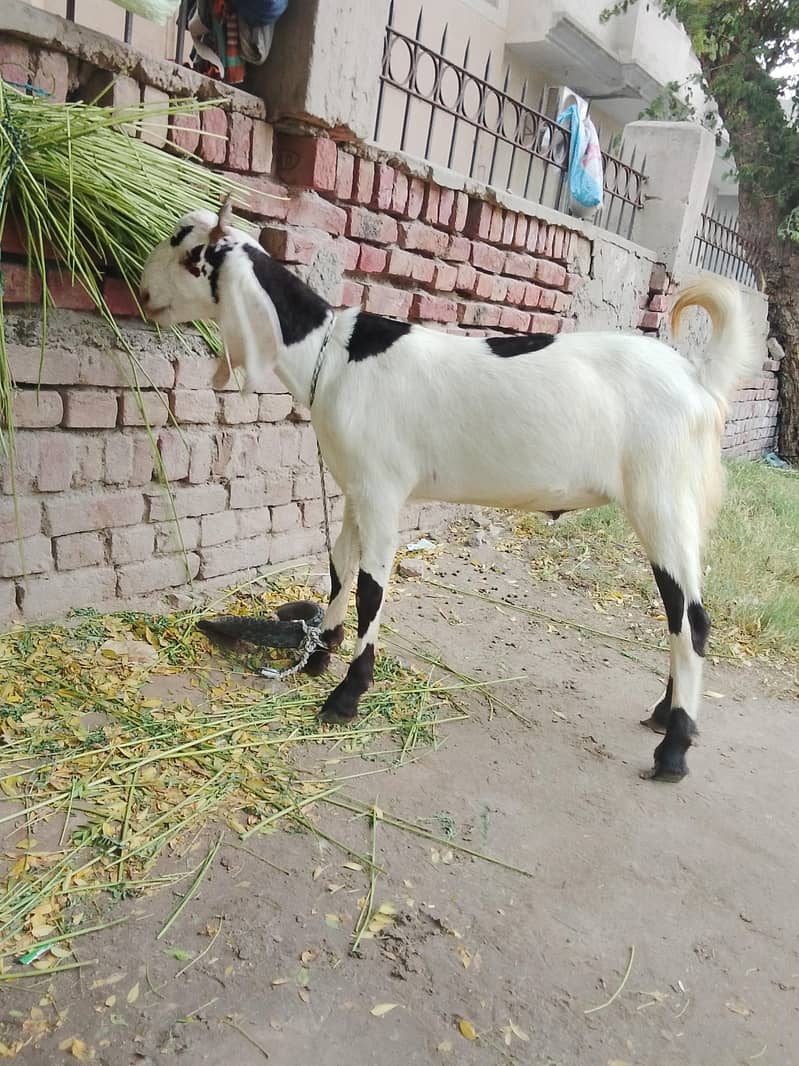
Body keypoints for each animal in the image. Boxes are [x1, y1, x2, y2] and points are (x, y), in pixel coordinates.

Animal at [140, 198, 761, 782]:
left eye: (187, 253)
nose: (142, 294)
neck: (332, 354)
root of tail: (700, 381)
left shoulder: (383, 490)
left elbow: (371, 590)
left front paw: (345, 696)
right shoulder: (356, 489)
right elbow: (339, 567)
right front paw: (319, 656)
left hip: (663, 499)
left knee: (692, 619)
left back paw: (674, 748)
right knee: (681, 615)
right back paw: (664, 714)